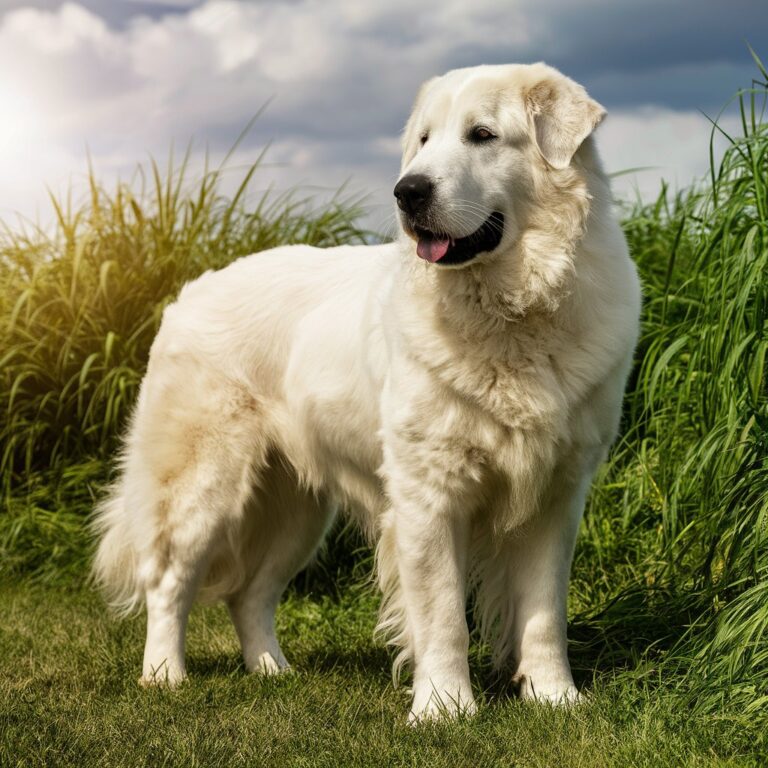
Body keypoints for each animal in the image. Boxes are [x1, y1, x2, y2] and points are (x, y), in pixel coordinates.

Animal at [91, 63, 640, 724]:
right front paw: (445, 709)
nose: (409, 191)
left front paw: (554, 698)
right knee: (168, 581)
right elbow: (443, 615)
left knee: (250, 594)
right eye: (424, 140)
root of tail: (189, 293)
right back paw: (164, 675)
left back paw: (272, 671)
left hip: (297, 512)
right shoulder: (428, 494)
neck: (512, 313)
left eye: (482, 135)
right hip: (203, 486)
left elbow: (543, 614)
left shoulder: (555, 493)